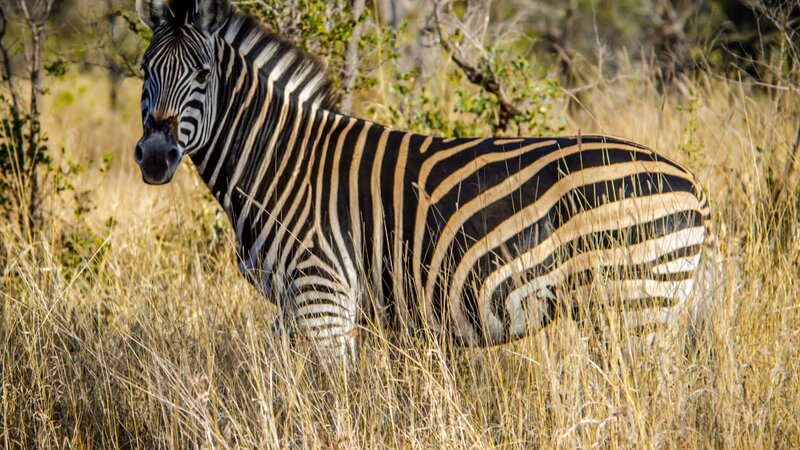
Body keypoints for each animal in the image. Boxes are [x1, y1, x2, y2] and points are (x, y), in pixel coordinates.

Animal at [134, 0, 717, 362]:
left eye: (203, 75)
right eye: (144, 70)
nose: (156, 157)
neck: (280, 162)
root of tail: (689, 180)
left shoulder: (323, 297)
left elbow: (332, 404)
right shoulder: (294, 307)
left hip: (635, 308)